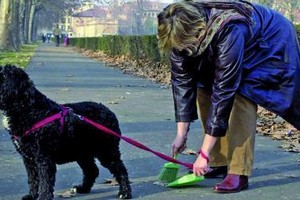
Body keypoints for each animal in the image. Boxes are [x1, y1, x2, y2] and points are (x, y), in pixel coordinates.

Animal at [0, 65, 131, 199]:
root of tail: (110, 112)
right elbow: (33, 179)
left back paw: (125, 192)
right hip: (83, 152)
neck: (29, 109)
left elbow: (45, 182)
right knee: (92, 170)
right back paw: (83, 188)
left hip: (106, 150)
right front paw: (31, 196)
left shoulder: (44, 158)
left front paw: (43, 197)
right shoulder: (29, 159)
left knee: (120, 169)